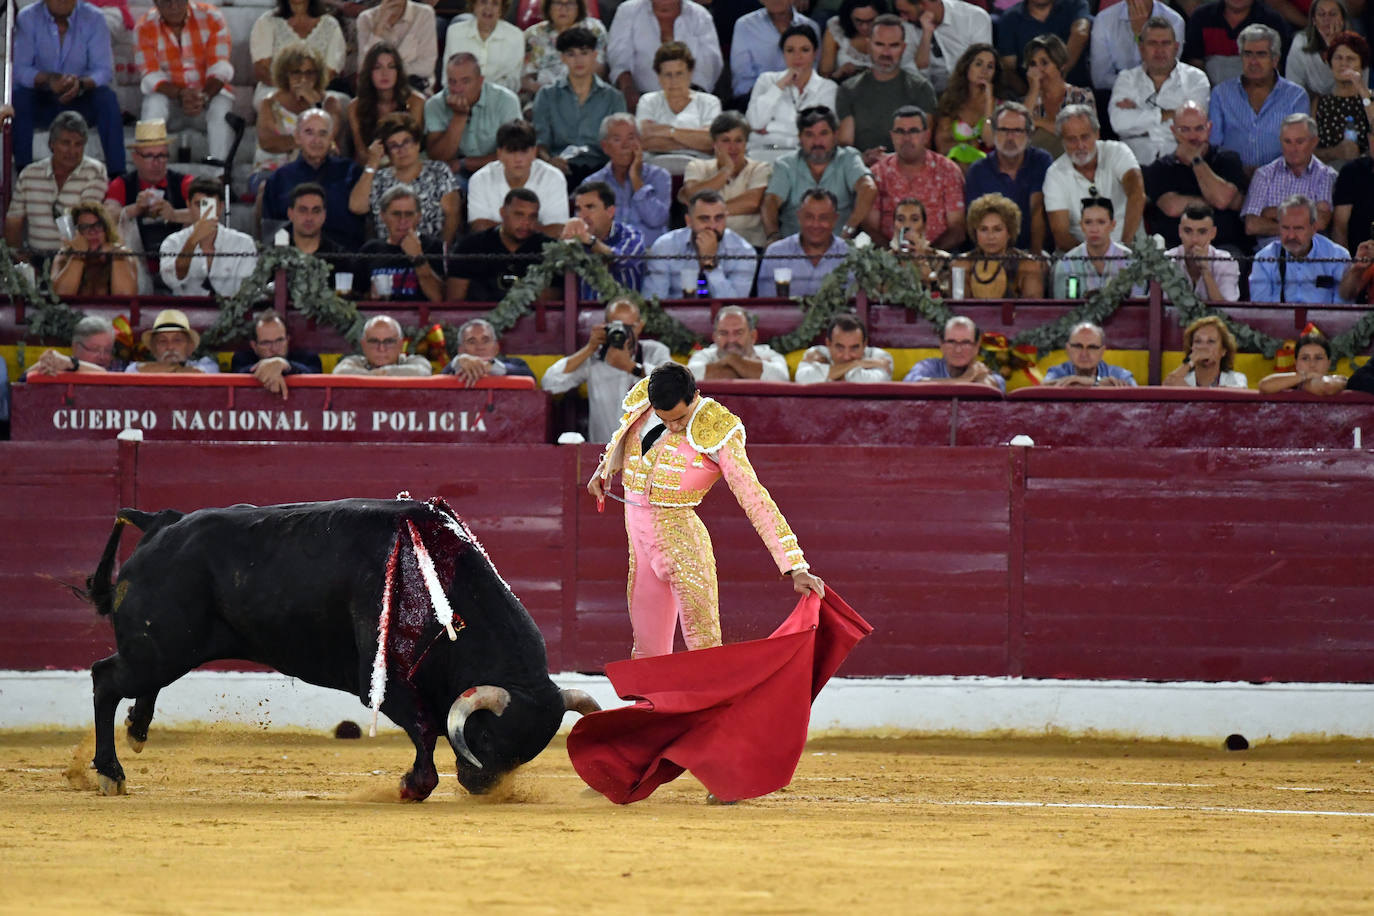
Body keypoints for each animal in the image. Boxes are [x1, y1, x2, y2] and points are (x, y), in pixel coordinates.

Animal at [83, 497, 599, 796]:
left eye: (529, 751)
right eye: (488, 737)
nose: (480, 784)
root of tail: (160, 524)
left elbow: (429, 727)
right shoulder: (381, 680)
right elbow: (426, 728)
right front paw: (410, 786)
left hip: (166, 645)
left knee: (139, 681)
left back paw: (137, 730)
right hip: (162, 644)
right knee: (106, 678)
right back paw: (111, 773)